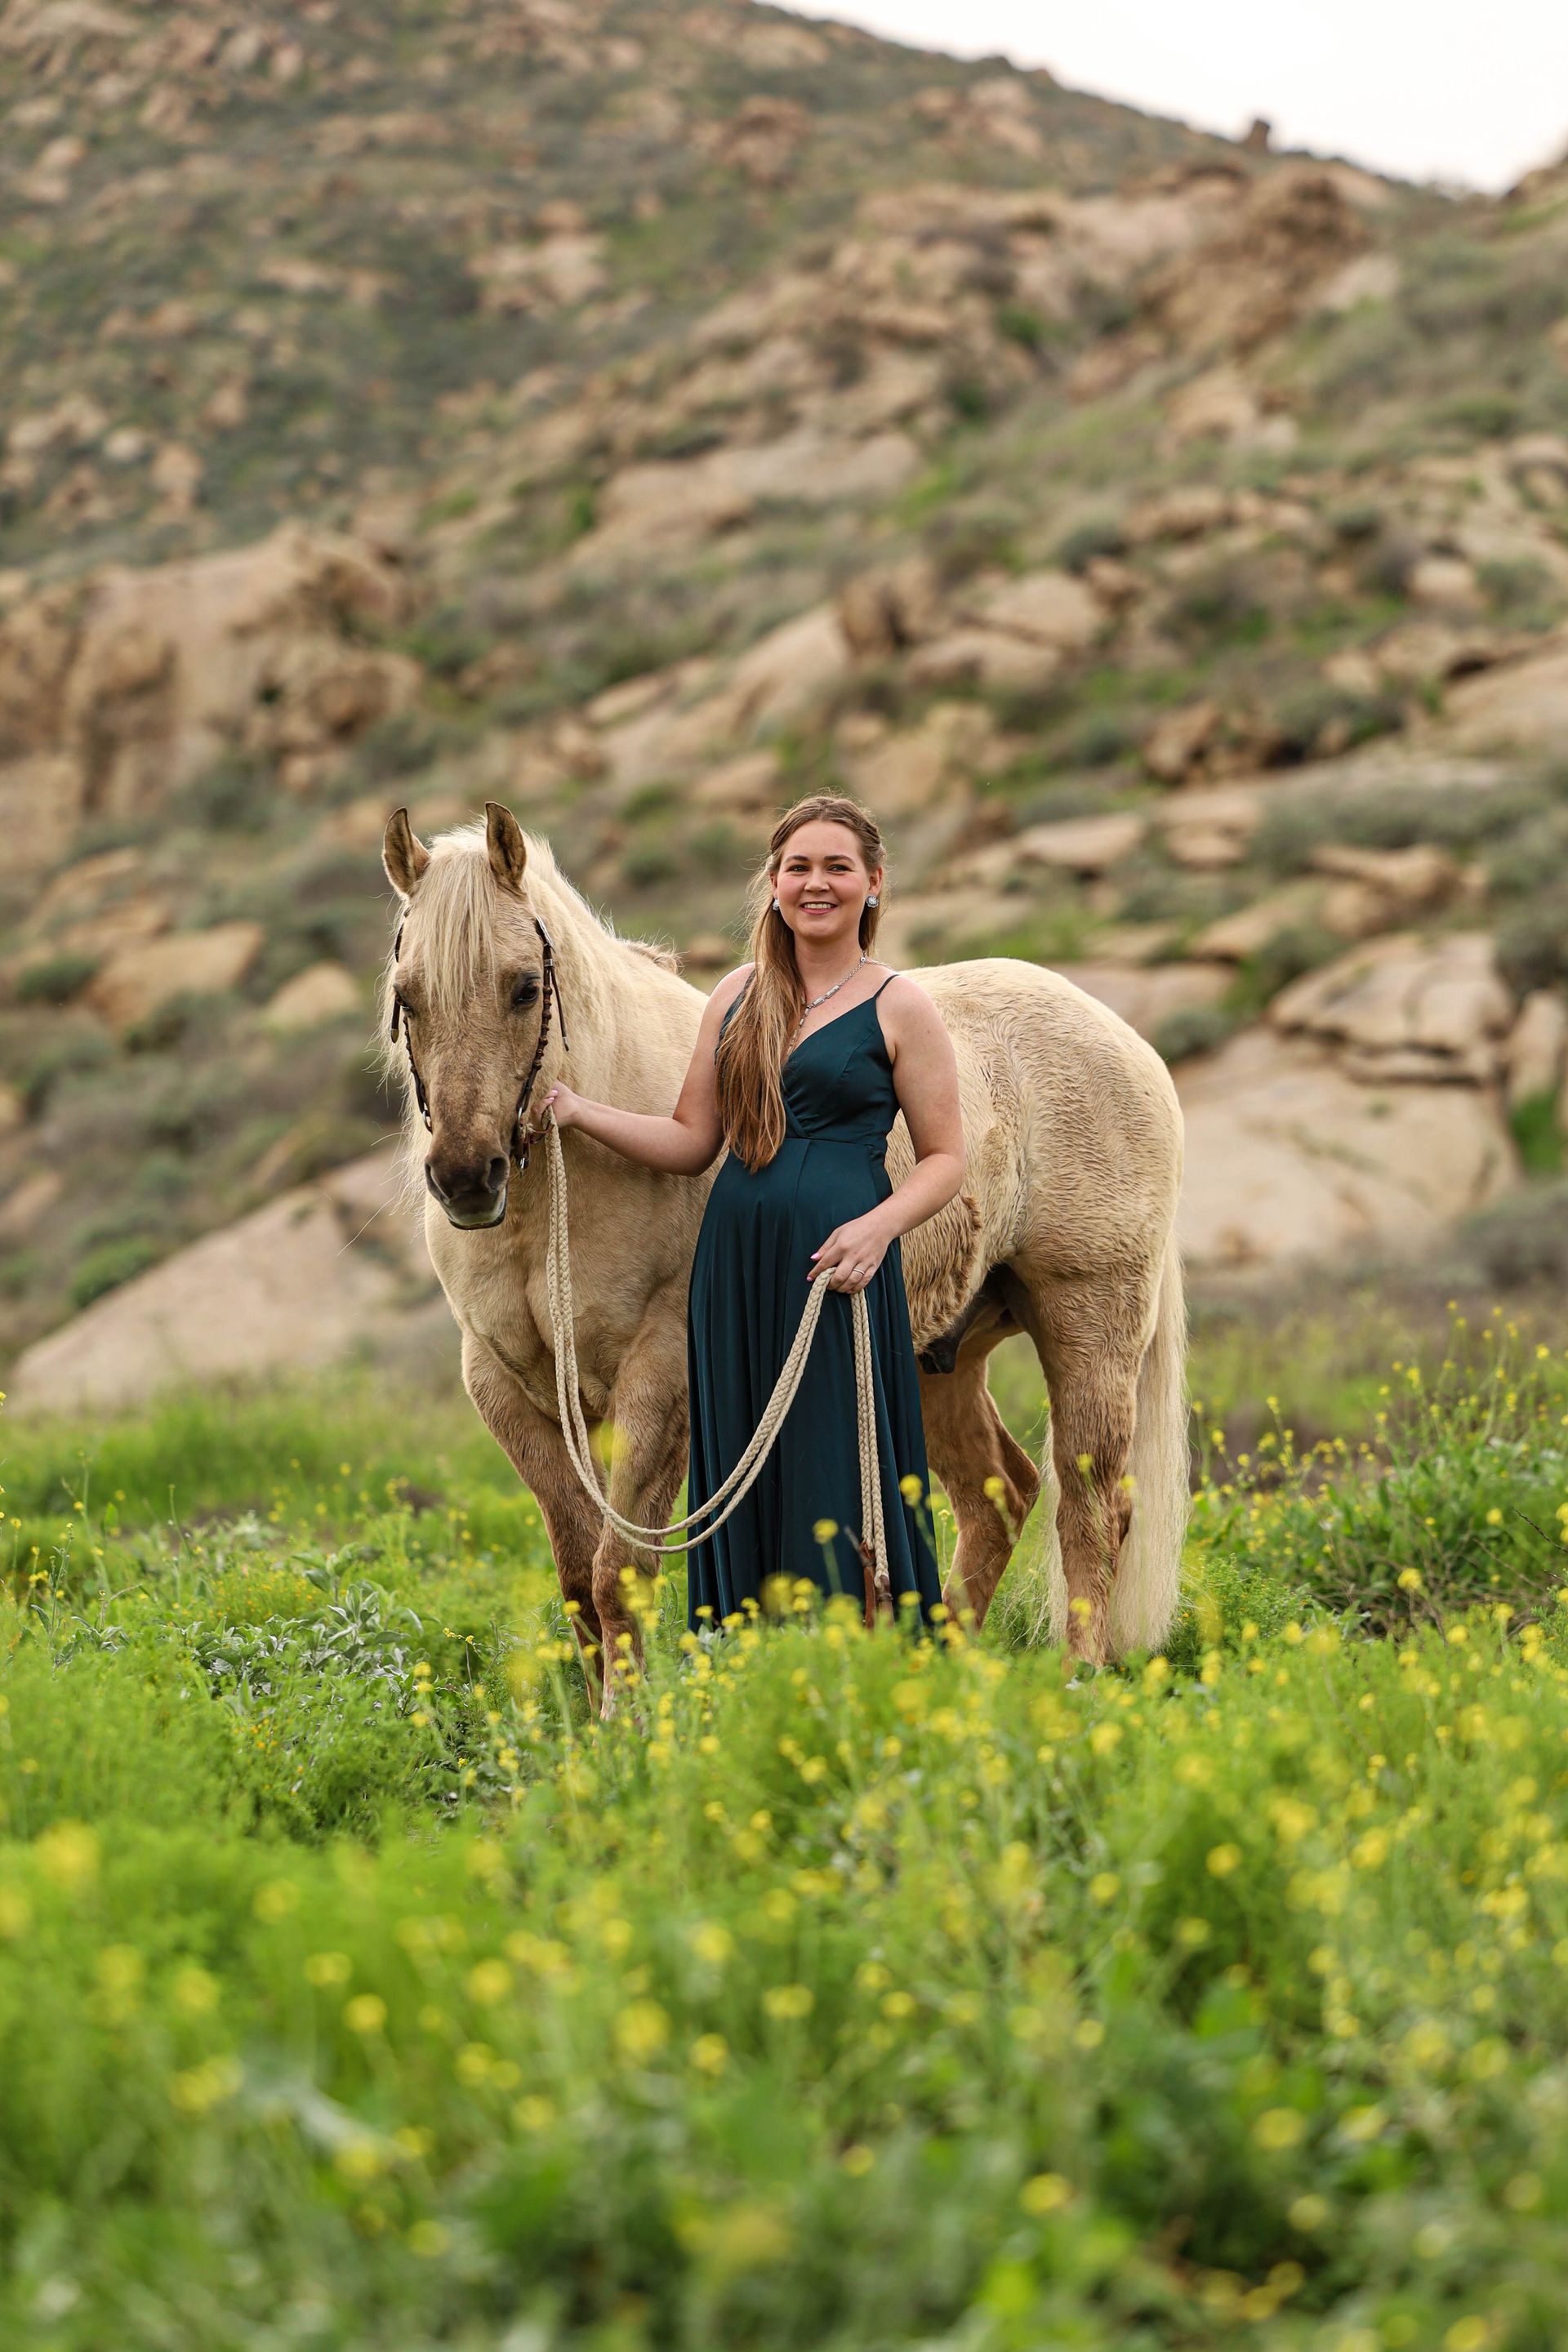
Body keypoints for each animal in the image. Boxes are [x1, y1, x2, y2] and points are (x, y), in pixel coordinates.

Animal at [381, 802, 1187, 1702]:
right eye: (407, 995)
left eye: (524, 986)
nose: (465, 1177)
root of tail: (1122, 1039)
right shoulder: (512, 1395)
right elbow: (577, 1578)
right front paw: (590, 1726)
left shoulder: (660, 1381)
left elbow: (618, 1572)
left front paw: (631, 1723)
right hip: (938, 1359)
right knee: (1001, 1498)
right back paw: (938, 1670)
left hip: (1090, 1322)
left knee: (1091, 1504)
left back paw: (1079, 1678)